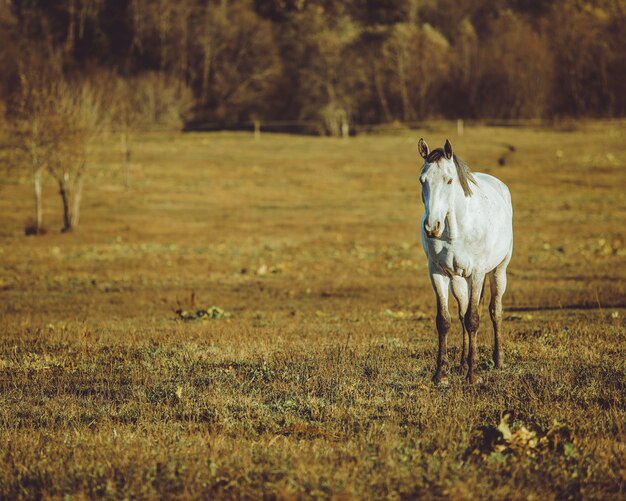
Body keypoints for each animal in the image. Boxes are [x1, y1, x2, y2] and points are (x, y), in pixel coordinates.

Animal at [416, 139, 510, 384]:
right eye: (422, 180)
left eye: (449, 180)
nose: (432, 227)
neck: (455, 230)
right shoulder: (437, 272)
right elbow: (445, 320)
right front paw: (441, 374)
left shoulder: (477, 272)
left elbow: (473, 319)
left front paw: (474, 374)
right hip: (458, 279)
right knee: (462, 313)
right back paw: (461, 364)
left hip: (498, 270)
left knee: (495, 311)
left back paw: (498, 361)